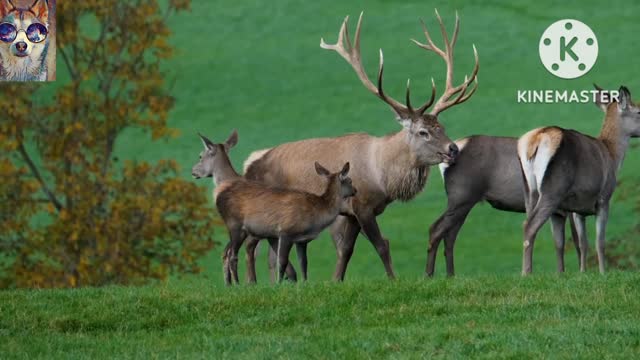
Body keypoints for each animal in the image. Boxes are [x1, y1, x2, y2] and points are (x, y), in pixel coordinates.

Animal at [242, 9, 478, 282]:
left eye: (442, 126)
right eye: (423, 132)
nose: (453, 149)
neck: (382, 177)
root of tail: (249, 164)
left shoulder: (354, 212)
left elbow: (346, 249)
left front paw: (336, 280)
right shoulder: (362, 205)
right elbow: (381, 245)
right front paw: (393, 279)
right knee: (252, 244)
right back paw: (251, 282)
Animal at [430, 136, 584, 278]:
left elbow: (566, 241)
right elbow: (578, 240)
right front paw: (581, 272)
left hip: (463, 204)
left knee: (449, 235)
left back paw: (450, 275)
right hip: (461, 197)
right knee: (436, 228)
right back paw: (429, 274)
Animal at [516, 85, 636, 276]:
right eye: (639, 111)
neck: (613, 156)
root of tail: (536, 140)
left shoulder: (578, 208)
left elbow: (579, 243)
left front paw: (579, 273)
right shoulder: (603, 198)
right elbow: (599, 242)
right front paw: (603, 273)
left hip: (529, 189)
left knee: (533, 224)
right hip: (552, 188)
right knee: (530, 225)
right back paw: (526, 273)